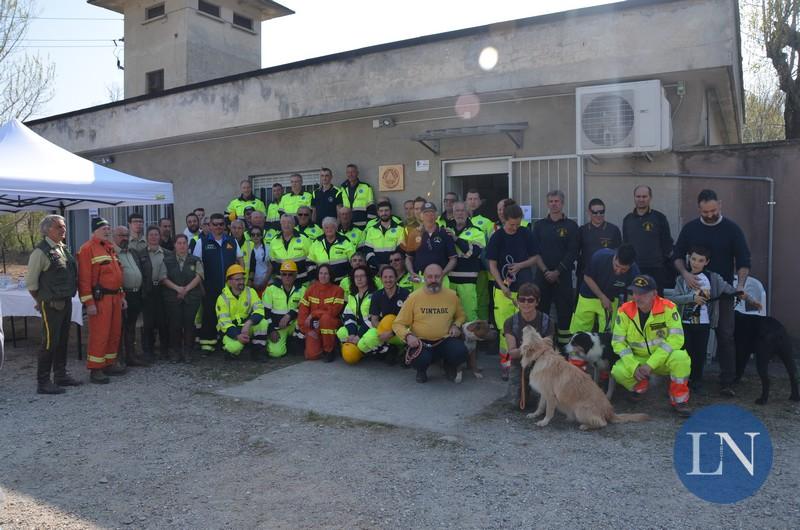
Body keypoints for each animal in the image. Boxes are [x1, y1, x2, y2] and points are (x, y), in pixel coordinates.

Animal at [520, 324, 648, 426]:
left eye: (533, 333)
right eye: (537, 333)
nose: (528, 325)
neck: (540, 357)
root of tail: (610, 412)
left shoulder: (551, 396)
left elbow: (549, 411)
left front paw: (544, 422)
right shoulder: (544, 392)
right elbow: (541, 406)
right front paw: (535, 414)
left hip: (579, 410)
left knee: (603, 423)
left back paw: (585, 426)